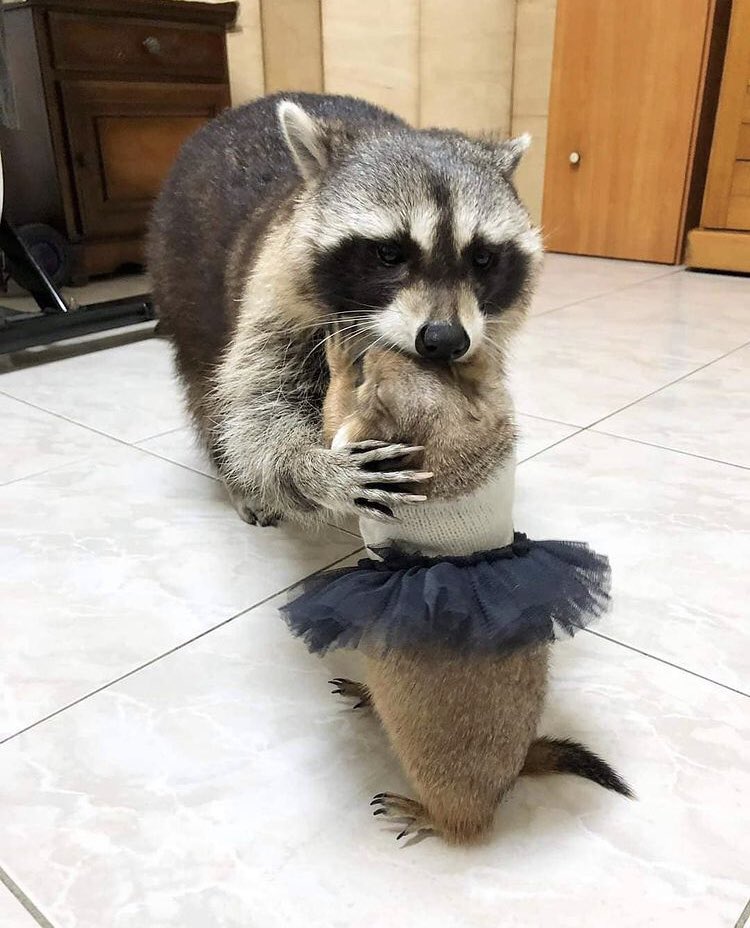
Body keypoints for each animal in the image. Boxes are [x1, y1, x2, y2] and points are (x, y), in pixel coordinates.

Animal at [148, 92, 541, 526]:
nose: (444, 339)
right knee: (208, 385)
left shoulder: (486, 331)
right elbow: (259, 404)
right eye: (389, 253)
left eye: (482, 258)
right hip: (180, 272)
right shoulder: (276, 293)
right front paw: (308, 469)